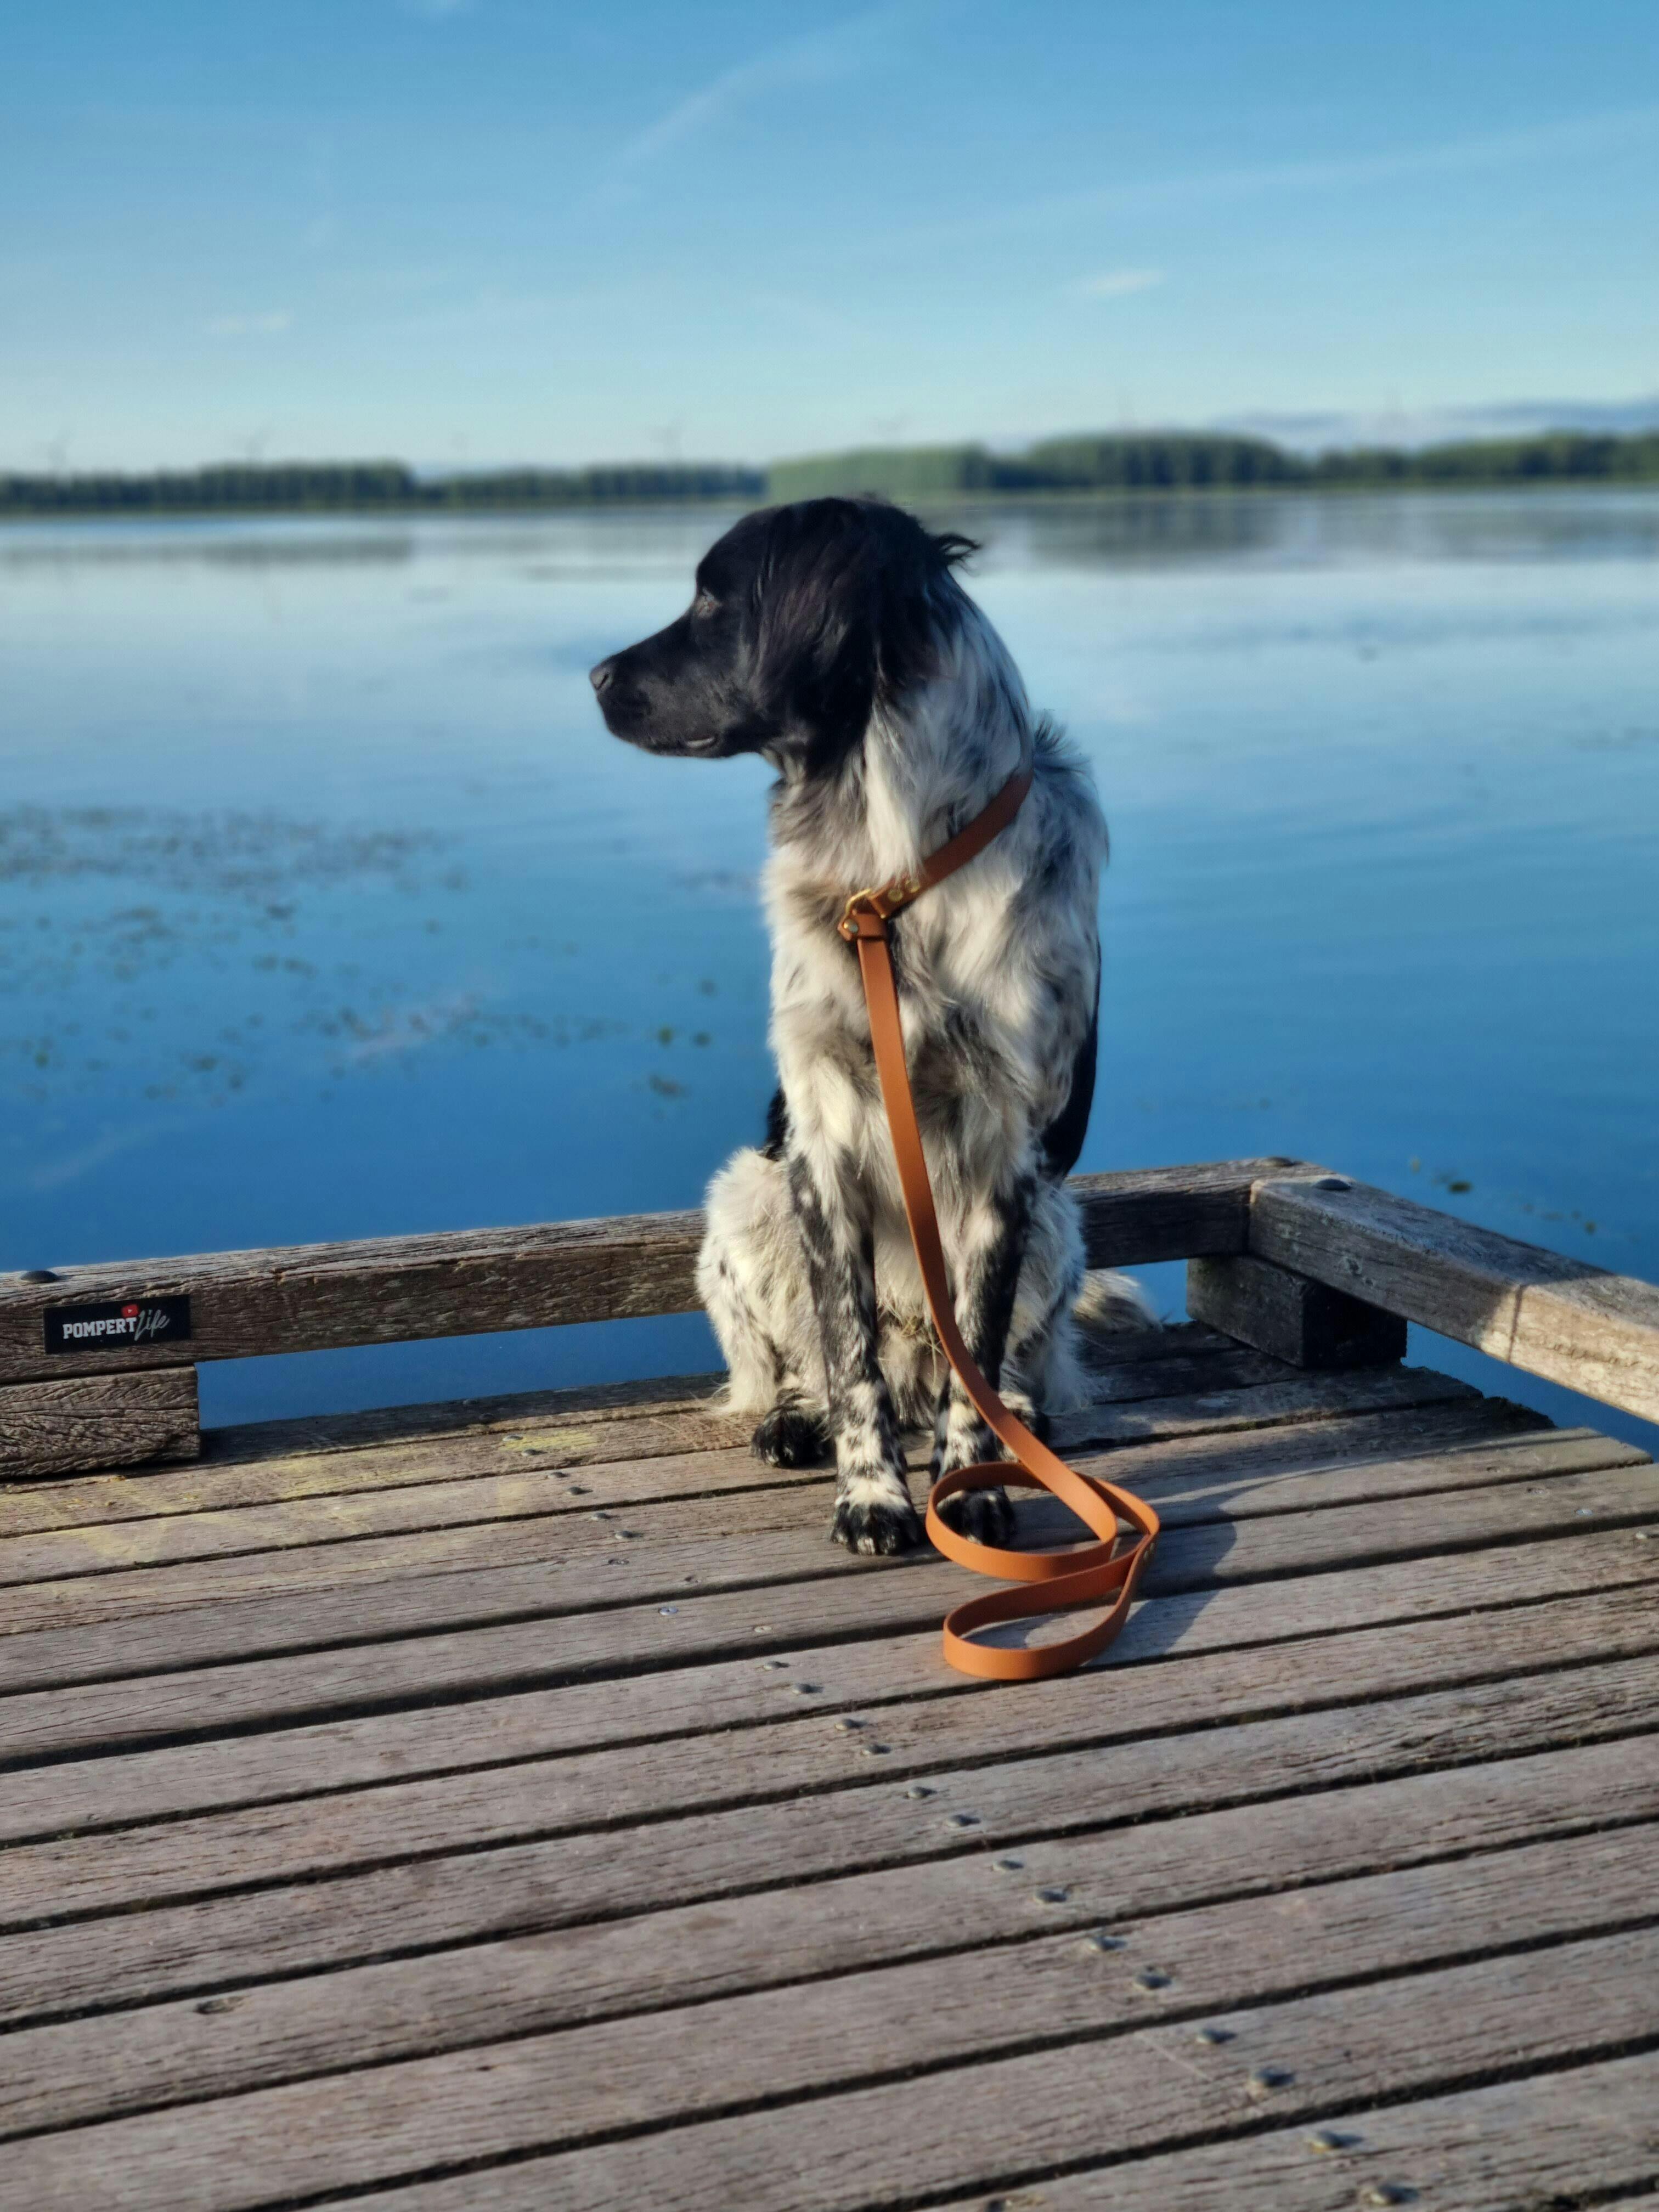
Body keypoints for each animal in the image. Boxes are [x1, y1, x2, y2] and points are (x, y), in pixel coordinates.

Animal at [591, 496, 1152, 1555]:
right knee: (813, 1364)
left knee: (997, 1367)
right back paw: (794, 1419)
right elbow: (844, 1351)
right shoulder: (819, 1136)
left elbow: (979, 1354)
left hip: (1059, 1223)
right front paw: (873, 1495)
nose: (596, 676)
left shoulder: (1007, 1152)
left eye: (713, 599)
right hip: (745, 1200)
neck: (894, 879)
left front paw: (968, 1490)